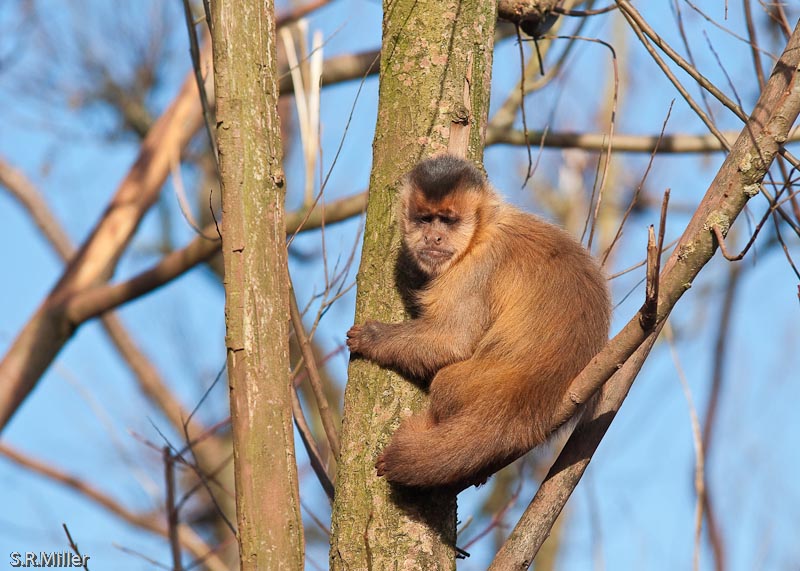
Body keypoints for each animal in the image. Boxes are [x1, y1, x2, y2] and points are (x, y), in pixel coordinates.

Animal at [346, 154, 611, 491]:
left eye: (447, 221)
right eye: (425, 219)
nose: (433, 237)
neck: (479, 235)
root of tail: (528, 395)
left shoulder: (475, 269)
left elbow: (454, 341)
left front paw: (373, 338)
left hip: (472, 383)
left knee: (444, 382)